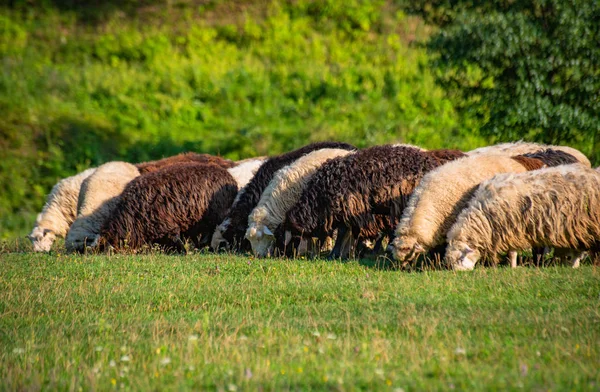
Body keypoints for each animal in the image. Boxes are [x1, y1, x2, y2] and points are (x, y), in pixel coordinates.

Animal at [278, 145, 466, 258]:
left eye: (290, 235)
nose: (283, 256)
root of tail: (432, 161)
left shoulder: (351, 207)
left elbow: (345, 231)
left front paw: (337, 254)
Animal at [446, 164, 600, 272]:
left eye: (459, 259)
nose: (458, 273)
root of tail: (592, 172)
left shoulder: (512, 228)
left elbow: (512, 253)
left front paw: (513, 267)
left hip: (580, 223)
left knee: (579, 249)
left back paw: (574, 265)